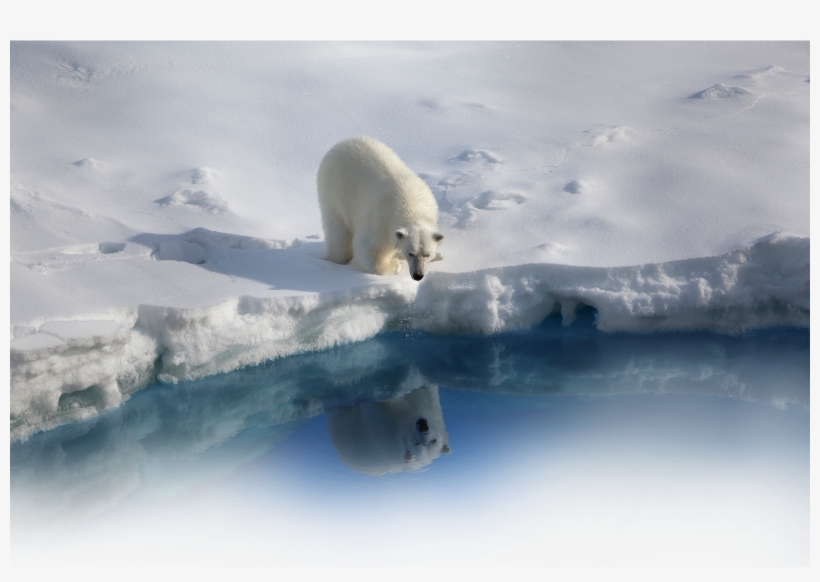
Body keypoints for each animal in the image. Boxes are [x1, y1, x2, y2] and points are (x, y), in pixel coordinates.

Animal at [317, 135, 444, 281]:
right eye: (410, 253)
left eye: (427, 254)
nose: (418, 275)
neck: (411, 207)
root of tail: (339, 145)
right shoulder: (380, 221)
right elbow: (368, 249)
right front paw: (395, 265)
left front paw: (437, 256)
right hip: (335, 193)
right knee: (339, 233)